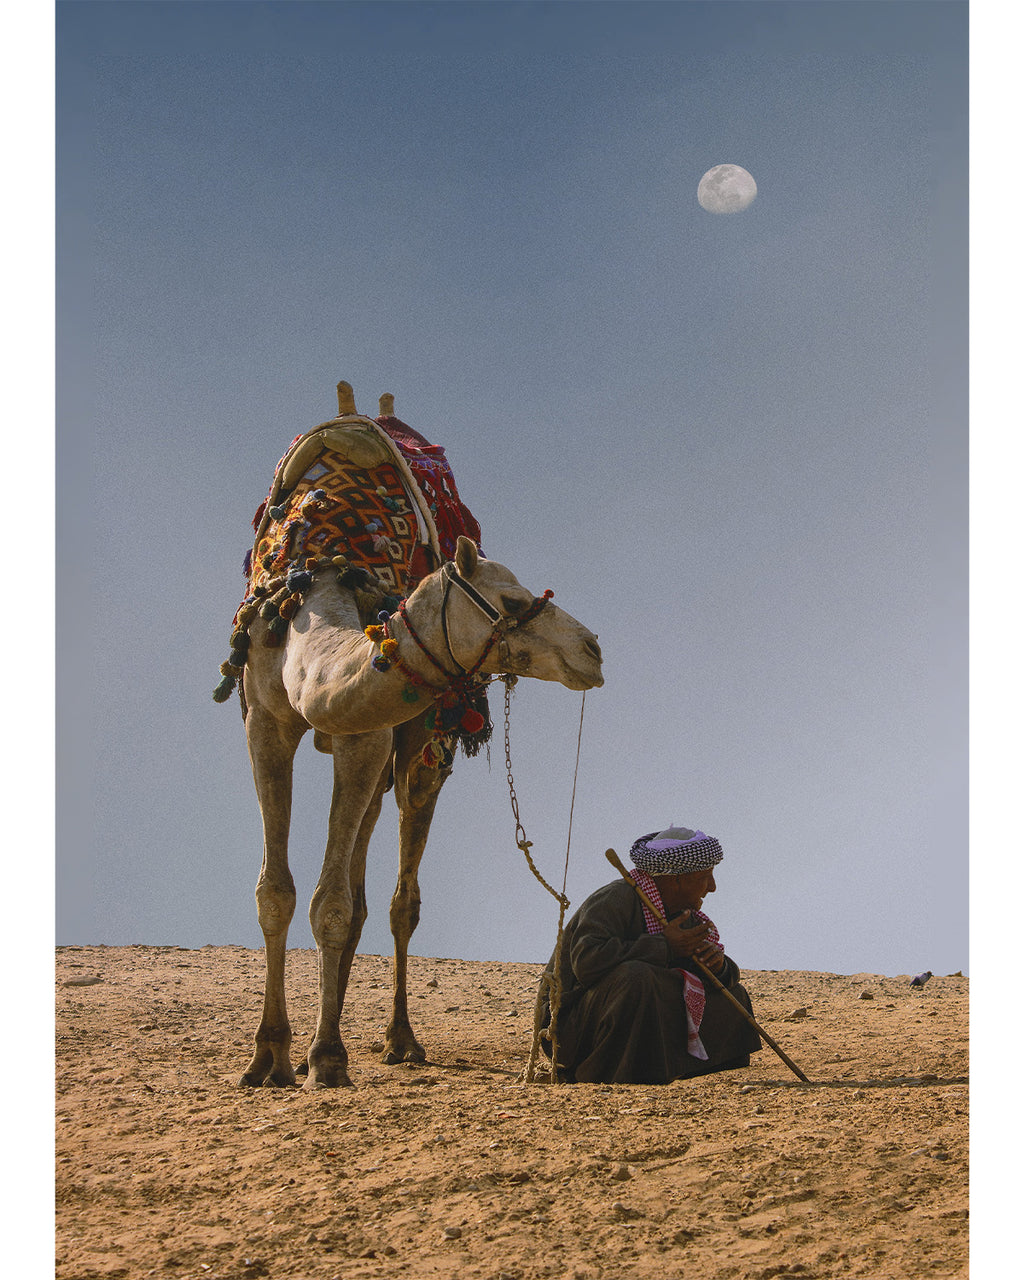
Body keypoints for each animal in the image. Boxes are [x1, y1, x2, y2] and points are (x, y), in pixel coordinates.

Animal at [227, 385, 604, 1088]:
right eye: (512, 603)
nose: (592, 649)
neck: (319, 584)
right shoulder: (265, 722)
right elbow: (278, 894)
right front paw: (269, 1055)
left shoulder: (367, 735)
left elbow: (331, 903)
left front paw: (326, 1057)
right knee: (359, 886)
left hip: (422, 742)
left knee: (397, 896)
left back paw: (398, 1038)